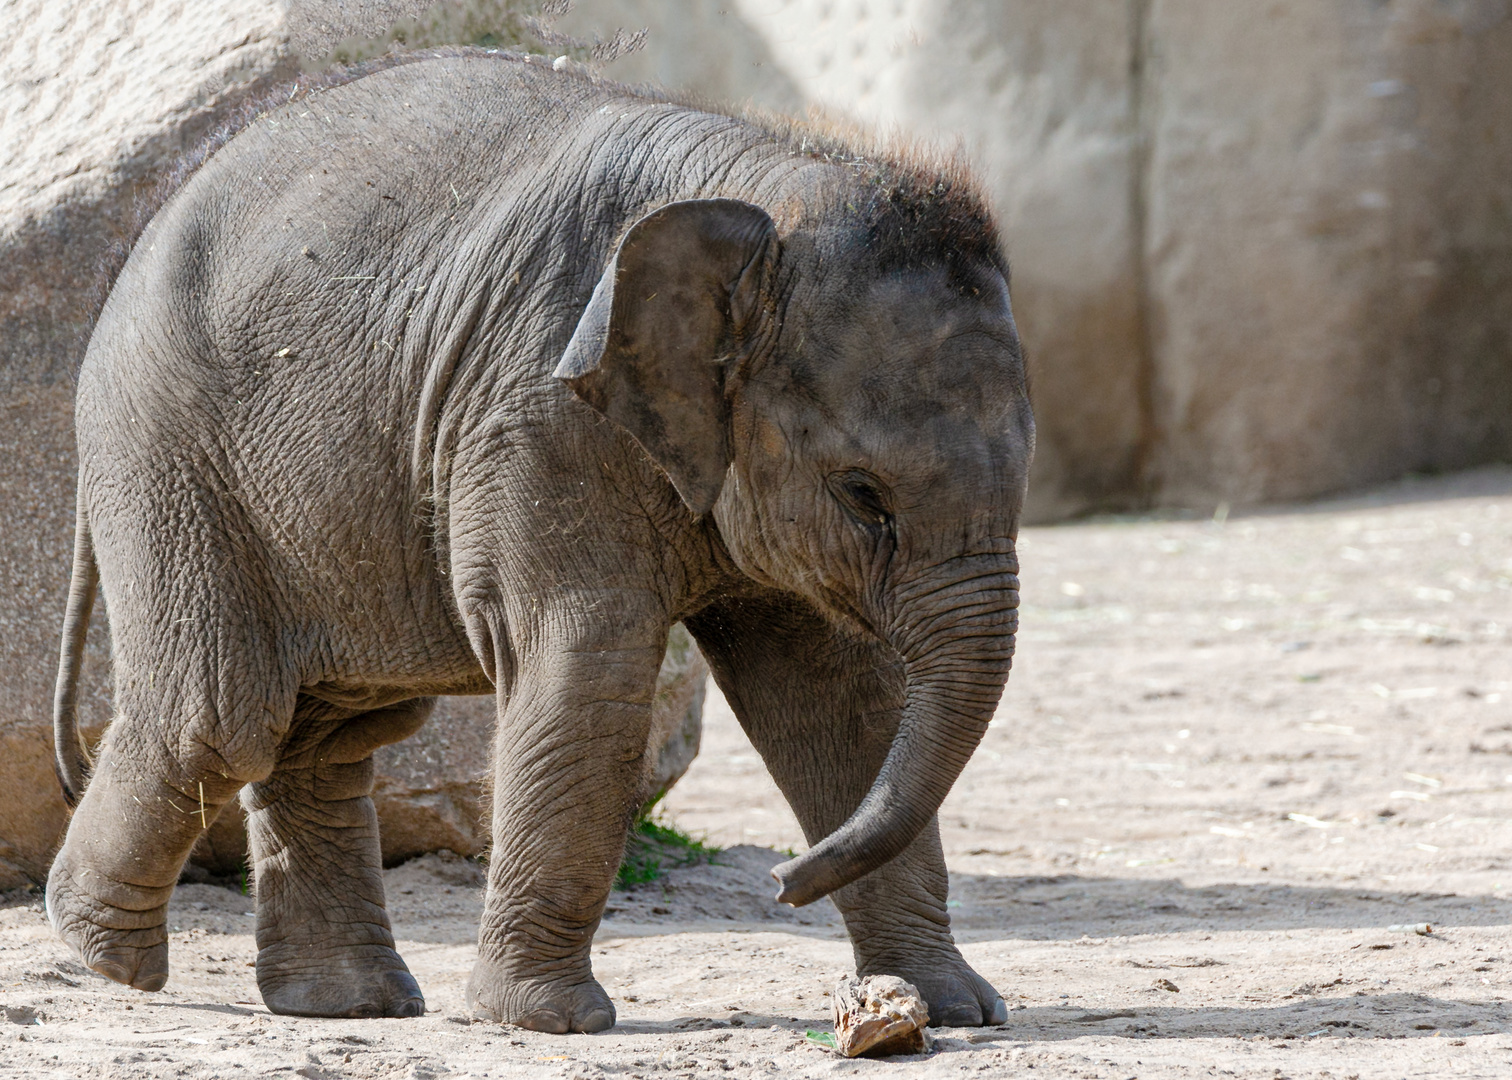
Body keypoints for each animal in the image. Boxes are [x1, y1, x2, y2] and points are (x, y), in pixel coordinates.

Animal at [50, 48, 1040, 1028]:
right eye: (864, 495)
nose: (781, 881)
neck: (771, 184)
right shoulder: (534, 409)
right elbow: (584, 664)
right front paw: (541, 1022)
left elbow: (835, 701)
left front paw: (954, 1008)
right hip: (170, 458)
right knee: (221, 721)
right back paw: (106, 957)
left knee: (328, 728)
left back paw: (347, 1004)